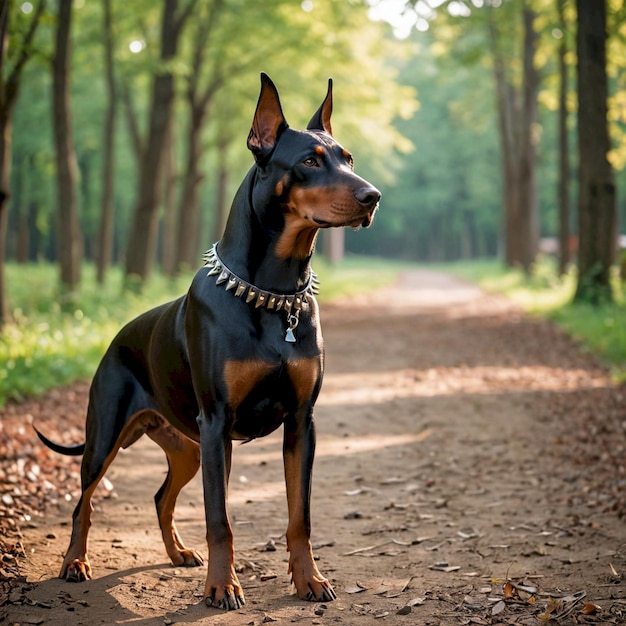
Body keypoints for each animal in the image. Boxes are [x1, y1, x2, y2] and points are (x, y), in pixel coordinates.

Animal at [37, 72, 380, 604]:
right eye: (309, 161)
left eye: (348, 158)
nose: (373, 197)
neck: (274, 292)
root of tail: (115, 338)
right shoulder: (219, 423)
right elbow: (220, 520)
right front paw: (222, 587)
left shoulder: (301, 422)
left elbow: (299, 515)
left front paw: (309, 578)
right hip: (109, 435)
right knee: (84, 503)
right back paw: (74, 562)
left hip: (188, 448)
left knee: (161, 495)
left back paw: (178, 553)